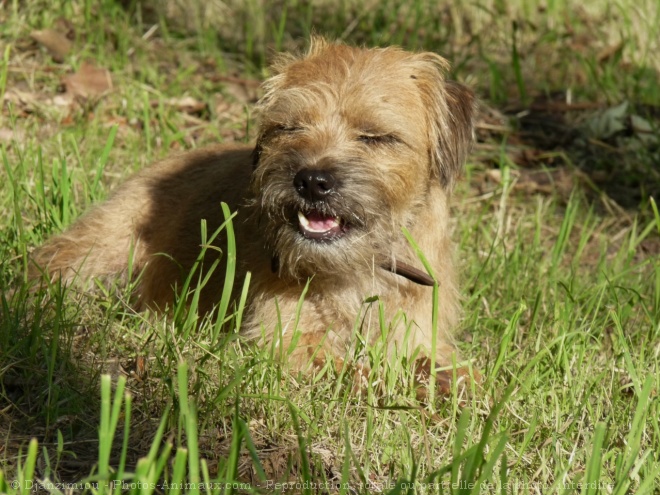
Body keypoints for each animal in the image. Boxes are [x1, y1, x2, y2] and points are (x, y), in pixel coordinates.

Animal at [31, 37, 476, 396]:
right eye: (290, 127)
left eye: (376, 136)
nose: (311, 180)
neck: (358, 268)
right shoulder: (285, 339)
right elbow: (354, 372)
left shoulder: (420, 336)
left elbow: (443, 367)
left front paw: (450, 386)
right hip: (104, 244)